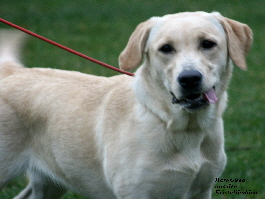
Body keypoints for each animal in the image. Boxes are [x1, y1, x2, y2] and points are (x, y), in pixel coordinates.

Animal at [0, 11, 252, 198]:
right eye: (166, 48)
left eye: (208, 44)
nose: (189, 78)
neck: (179, 125)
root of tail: (13, 71)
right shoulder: (134, 192)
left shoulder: (202, 189)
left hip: (52, 182)